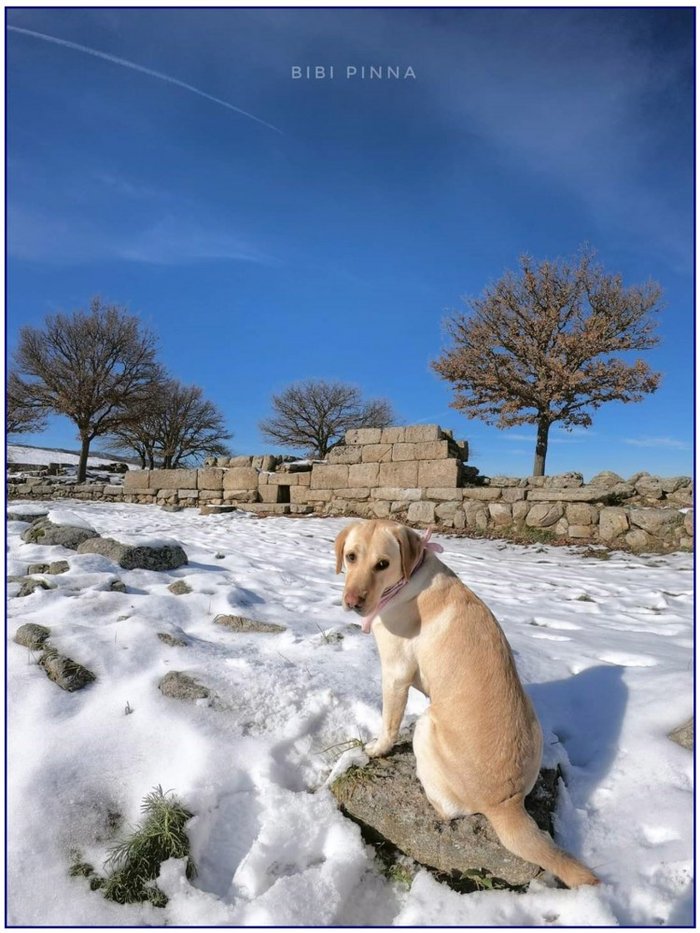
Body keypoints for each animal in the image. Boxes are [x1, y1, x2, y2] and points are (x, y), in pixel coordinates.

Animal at [336, 516, 600, 888]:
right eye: (351, 557)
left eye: (383, 564)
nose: (352, 601)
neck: (410, 577)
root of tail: (506, 804)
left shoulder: (395, 672)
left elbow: (388, 722)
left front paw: (375, 749)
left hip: (427, 725)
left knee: (445, 809)